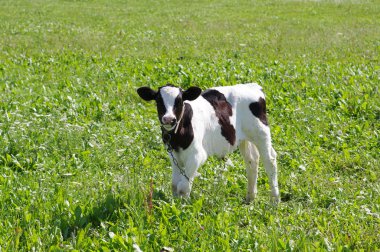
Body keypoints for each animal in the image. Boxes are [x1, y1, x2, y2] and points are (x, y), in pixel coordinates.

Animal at [137, 82, 280, 203]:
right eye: (158, 101)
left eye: (179, 101)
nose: (168, 119)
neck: (178, 138)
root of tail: (253, 86)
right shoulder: (174, 156)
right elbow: (174, 185)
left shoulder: (196, 156)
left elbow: (183, 187)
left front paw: (183, 208)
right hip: (244, 139)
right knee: (252, 161)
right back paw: (250, 198)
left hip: (261, 133)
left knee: (270, 161)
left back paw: (274, 200)